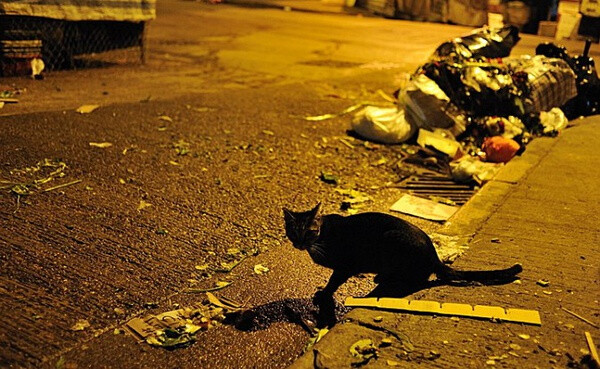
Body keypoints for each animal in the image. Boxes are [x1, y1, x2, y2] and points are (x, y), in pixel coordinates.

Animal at [284, 203, 524, 324]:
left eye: (310, 231)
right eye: (293, 232)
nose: (299, 242)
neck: (320, 239)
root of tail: (434, 255)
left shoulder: (344, 267)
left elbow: (332, 283)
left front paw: (324, 295)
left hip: (392, 240)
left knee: (417, 279)